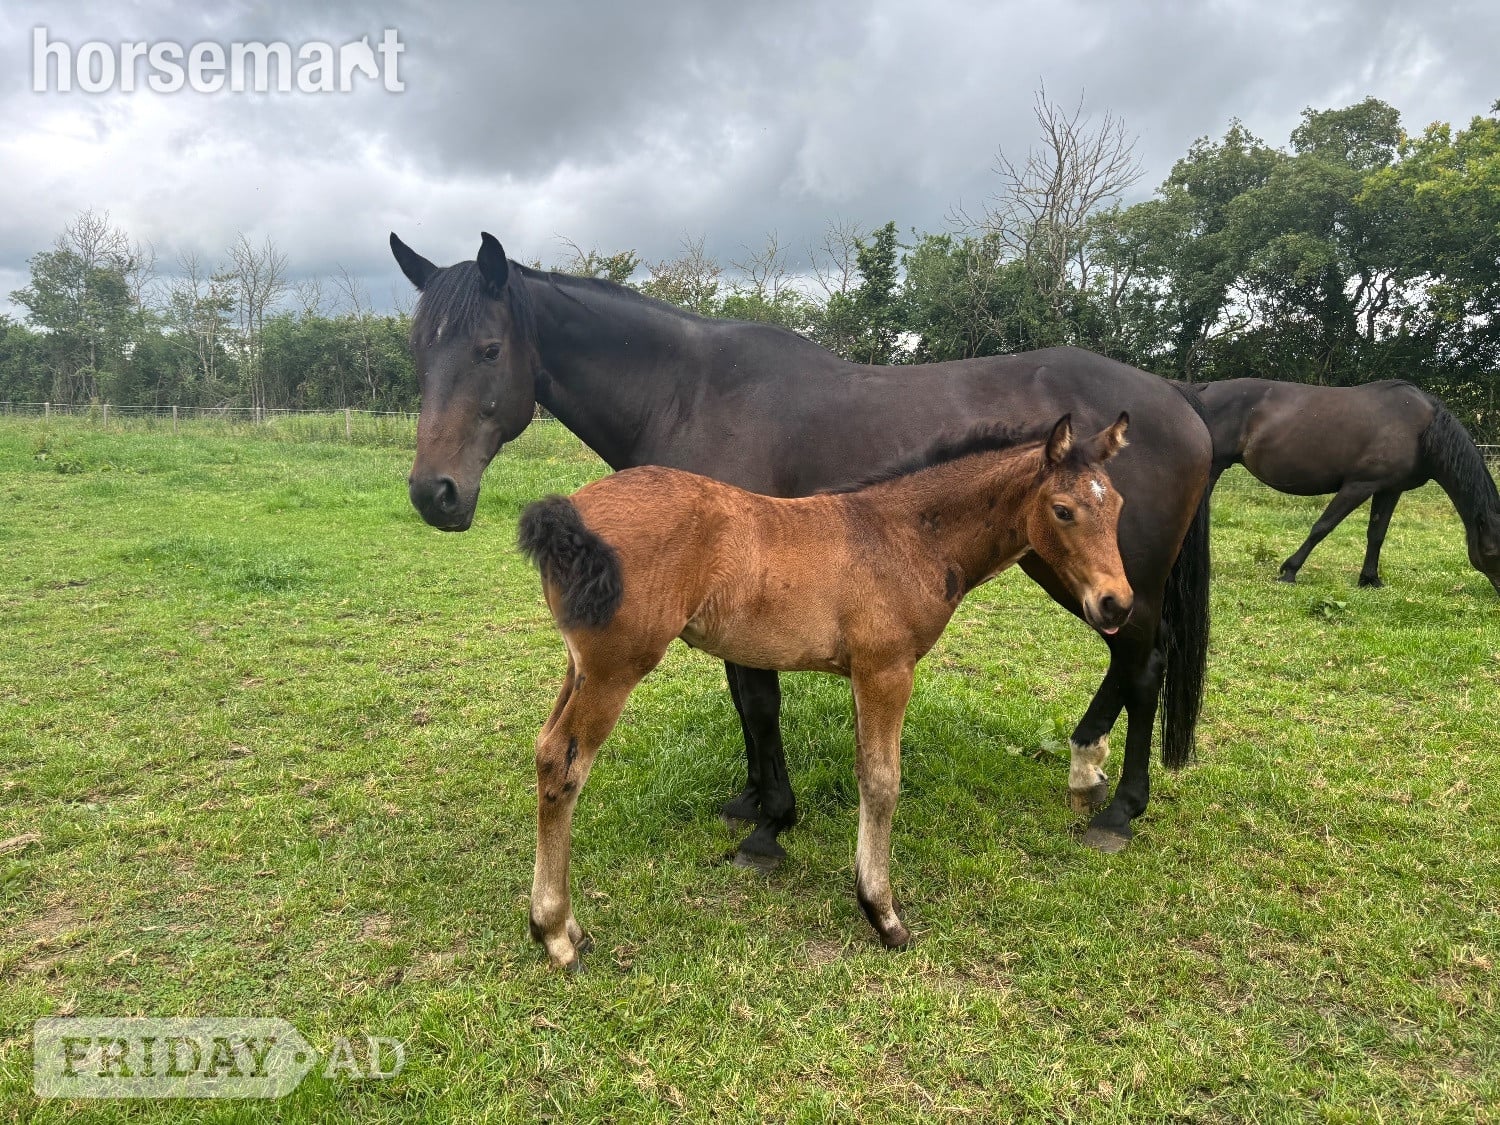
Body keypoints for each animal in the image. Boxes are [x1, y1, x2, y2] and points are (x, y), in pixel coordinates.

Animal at [389, 231, 1212, 858]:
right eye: (418, 354)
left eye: (488, 349)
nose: (435, 493)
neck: (690, 392)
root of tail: (1179, 400)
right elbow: (744, 695)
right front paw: (753, 798)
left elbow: (758, 699)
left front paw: (773, 821)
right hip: (1082, 576)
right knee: (1129, 662)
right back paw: (1089, 771)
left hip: (1115, 580)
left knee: (1143, 666)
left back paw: (1117, 808)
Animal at [520, 414, 1133, 969]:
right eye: (1063, 510)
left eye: (1120, 507)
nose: (1117, 604)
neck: (907, 536)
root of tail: (567, 514)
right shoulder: (887, 670)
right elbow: (883, 782)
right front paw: (883, 914)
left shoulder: (864, 675)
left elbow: (866, 773)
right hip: (615, 669)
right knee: (564, 765)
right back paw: (555, 935)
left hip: (580, 666)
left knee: (545, 749)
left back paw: (569, 929)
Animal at [1196, 379, 1500, 592]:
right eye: (1492, 551)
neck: (1420, 430)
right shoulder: (1359, 485)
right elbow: (1322, 527)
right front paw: (1289, 571)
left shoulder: (1389, 490)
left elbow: (1376, 534)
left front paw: (1370, 579)